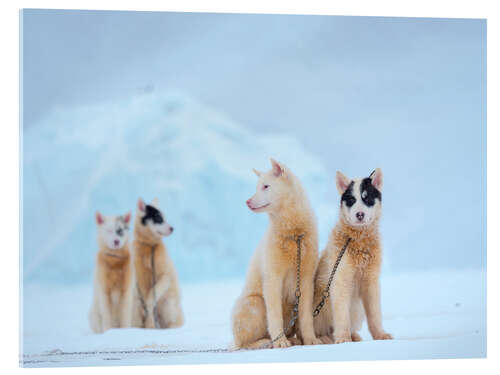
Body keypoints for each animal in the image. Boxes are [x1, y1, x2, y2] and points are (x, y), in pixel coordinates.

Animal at [131, 197, 184, 328]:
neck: (149, 246)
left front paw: (149, 317)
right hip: (135, 308)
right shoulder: (139, 278)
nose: (172, 228)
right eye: (159, 218)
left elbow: (152, 296)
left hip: (168, 304)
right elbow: (145, 297)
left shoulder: (164, 275)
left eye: (165, 218)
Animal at [231, 159, 322, 350]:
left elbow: (306, 316)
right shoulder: (272, 278)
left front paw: (311, 340)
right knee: (244, 344)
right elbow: (274, 315)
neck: (293, 233)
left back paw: (293, 339)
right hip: (255, 303)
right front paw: (280, 342)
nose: (247, 201)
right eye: (257, 187)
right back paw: (265, 342)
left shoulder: (306, 279)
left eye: (266, 186)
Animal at [314, 169, 392, 346]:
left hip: (357, 308)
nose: (359, 214)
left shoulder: (371, 281)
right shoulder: (340, 280)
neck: (358, 240)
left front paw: (380, 335)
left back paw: (354, 336)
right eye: (351, 200)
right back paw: (324, 338)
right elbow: (342, 314)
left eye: (367, 198)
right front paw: (343, 338)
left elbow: (375, 313)